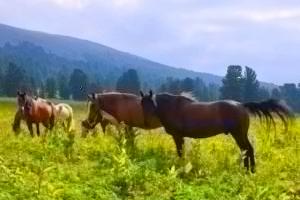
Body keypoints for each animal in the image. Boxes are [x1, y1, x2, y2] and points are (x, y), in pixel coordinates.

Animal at [141, 90, 292, 172]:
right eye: (142, 104)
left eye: (151, 103)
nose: (146, 122)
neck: (173, 107)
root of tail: (241, 105)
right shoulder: (180, 137)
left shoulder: (178, 136)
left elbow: (180, 153)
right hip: (241, 134)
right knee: (247, 150)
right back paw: (249, 170)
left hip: (238, 134)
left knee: (247, 149)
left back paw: (249, 170)